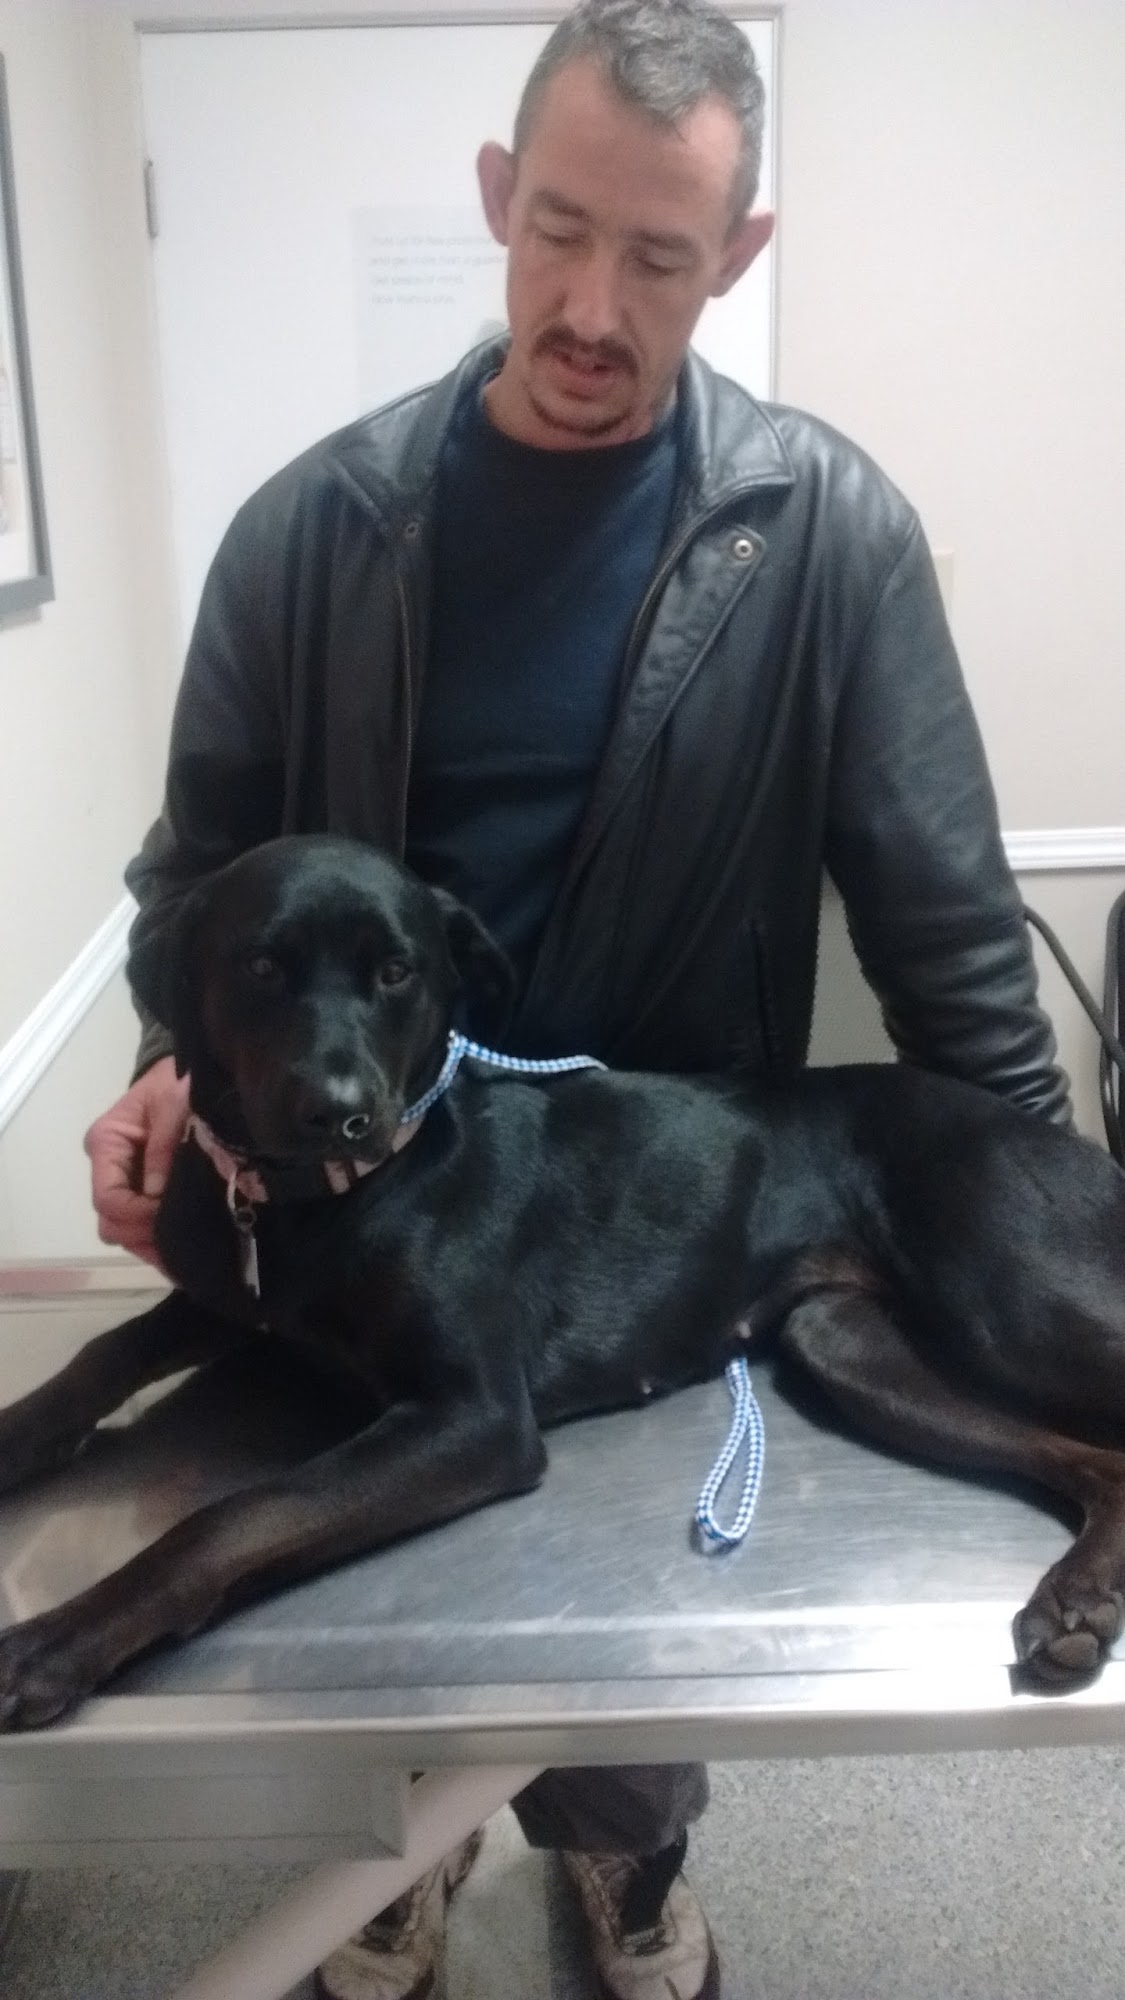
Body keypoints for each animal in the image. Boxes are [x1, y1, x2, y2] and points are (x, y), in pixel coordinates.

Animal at [0, 832, 1124, 1729]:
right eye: (262, 964)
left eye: (398, 971)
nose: (341, 1113)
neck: (307, 1204)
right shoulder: (231, 1301)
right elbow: (104, 1351)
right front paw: (21, 1430)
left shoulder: (474, 1417)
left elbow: (232, 1514)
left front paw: (60, 1637)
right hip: (847, 1347)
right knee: (1099, 1461)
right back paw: (1076, 1597)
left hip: (1015, 1300)